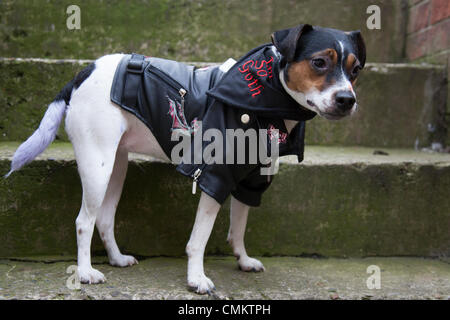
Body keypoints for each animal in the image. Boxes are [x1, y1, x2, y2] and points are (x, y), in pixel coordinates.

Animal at [6, 24, 366, 296]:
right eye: (319, 62)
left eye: (355, 70)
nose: (347, 99)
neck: (268, 95)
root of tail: (84, 72)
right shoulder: (213, 176)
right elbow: (199, 239)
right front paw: (196, 278)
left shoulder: (250, 182)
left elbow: (238, 226)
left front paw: (243, 259)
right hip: (97, 166)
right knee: (84, 221)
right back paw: (85, 273)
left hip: (116, 167)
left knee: (104, 219)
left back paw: (117, 258)